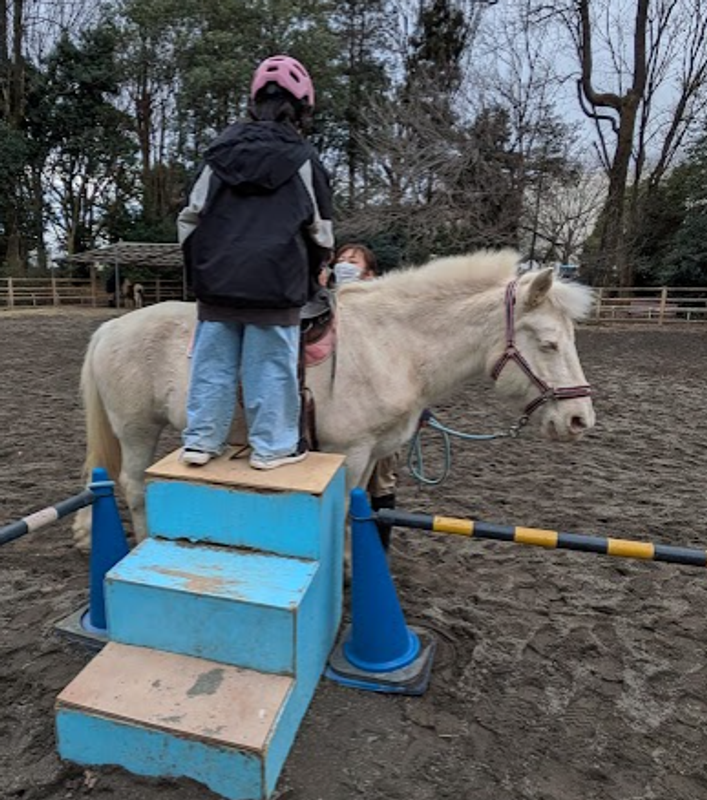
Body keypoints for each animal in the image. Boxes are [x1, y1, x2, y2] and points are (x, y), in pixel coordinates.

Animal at [71, 250, 596, 550]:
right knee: (133, 485)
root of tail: (112, 327)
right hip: (136, 429)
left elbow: (356, 510)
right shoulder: (351, 450)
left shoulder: (369, 454)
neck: (392, 343)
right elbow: (341, 511)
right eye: (549, 343)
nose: (579, 419)